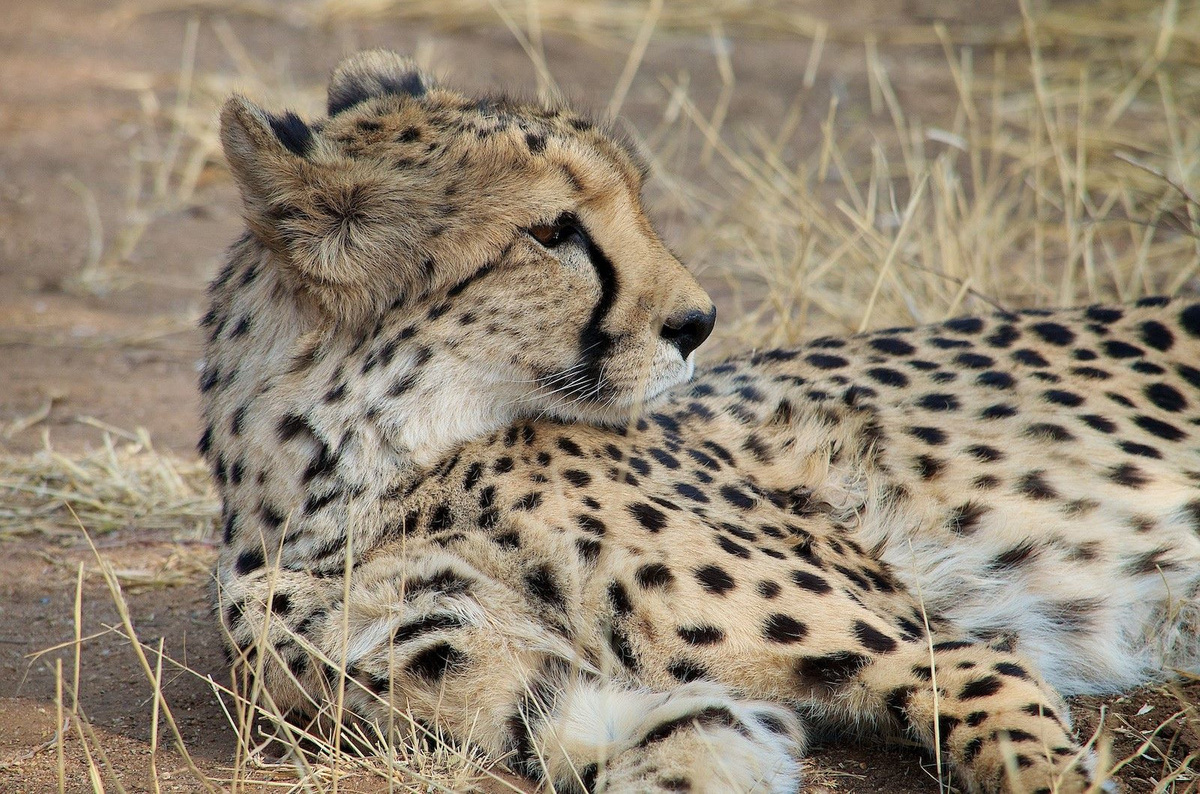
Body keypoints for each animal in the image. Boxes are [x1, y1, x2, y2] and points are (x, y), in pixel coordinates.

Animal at [201, 49, 1200, 794]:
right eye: (552, 232)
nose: (698, 322)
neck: (359, 470)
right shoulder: (580, 701)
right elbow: (673, 737)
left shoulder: (944, 646)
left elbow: (1010, 722)